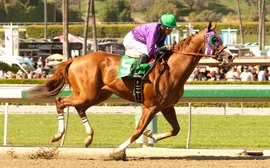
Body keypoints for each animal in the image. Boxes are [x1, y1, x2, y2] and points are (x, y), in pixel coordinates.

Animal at [28, 22, 234, 160]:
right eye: (215, 39)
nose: (230, 56)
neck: (172, 70)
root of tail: (74, 59)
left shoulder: (167, 106)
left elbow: (176, 129)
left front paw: (152, 135)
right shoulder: (151, 106)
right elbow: (137, 130)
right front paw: (118, 150)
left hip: (97, 95)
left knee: (79, 108)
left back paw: (88, 137)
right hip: (87, 93)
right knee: (60, 102)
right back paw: (58, 134)